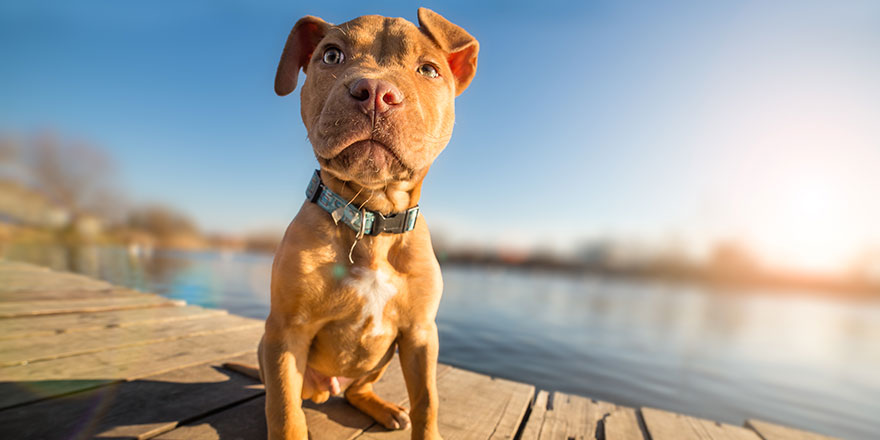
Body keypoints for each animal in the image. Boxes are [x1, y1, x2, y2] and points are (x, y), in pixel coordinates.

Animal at [227, 7, 474, 440]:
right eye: (331, 56)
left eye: (428, 69)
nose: (375, 92)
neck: (370, 216)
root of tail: (330, 388)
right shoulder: (286, 331)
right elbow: (283, 410)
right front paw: (289, 424)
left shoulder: (420, 334)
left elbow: (428, 401)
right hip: (269, 347)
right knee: (286, 394)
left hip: (384, 359)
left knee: (359, 389)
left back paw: (381, 407)